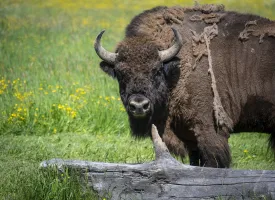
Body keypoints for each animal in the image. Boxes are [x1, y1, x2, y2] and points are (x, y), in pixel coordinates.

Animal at [95, 3, 275, 168]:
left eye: (157, 70)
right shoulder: (190, 139)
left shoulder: (210, 132)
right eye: (120, 73)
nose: (139, 106)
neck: (175, 69)